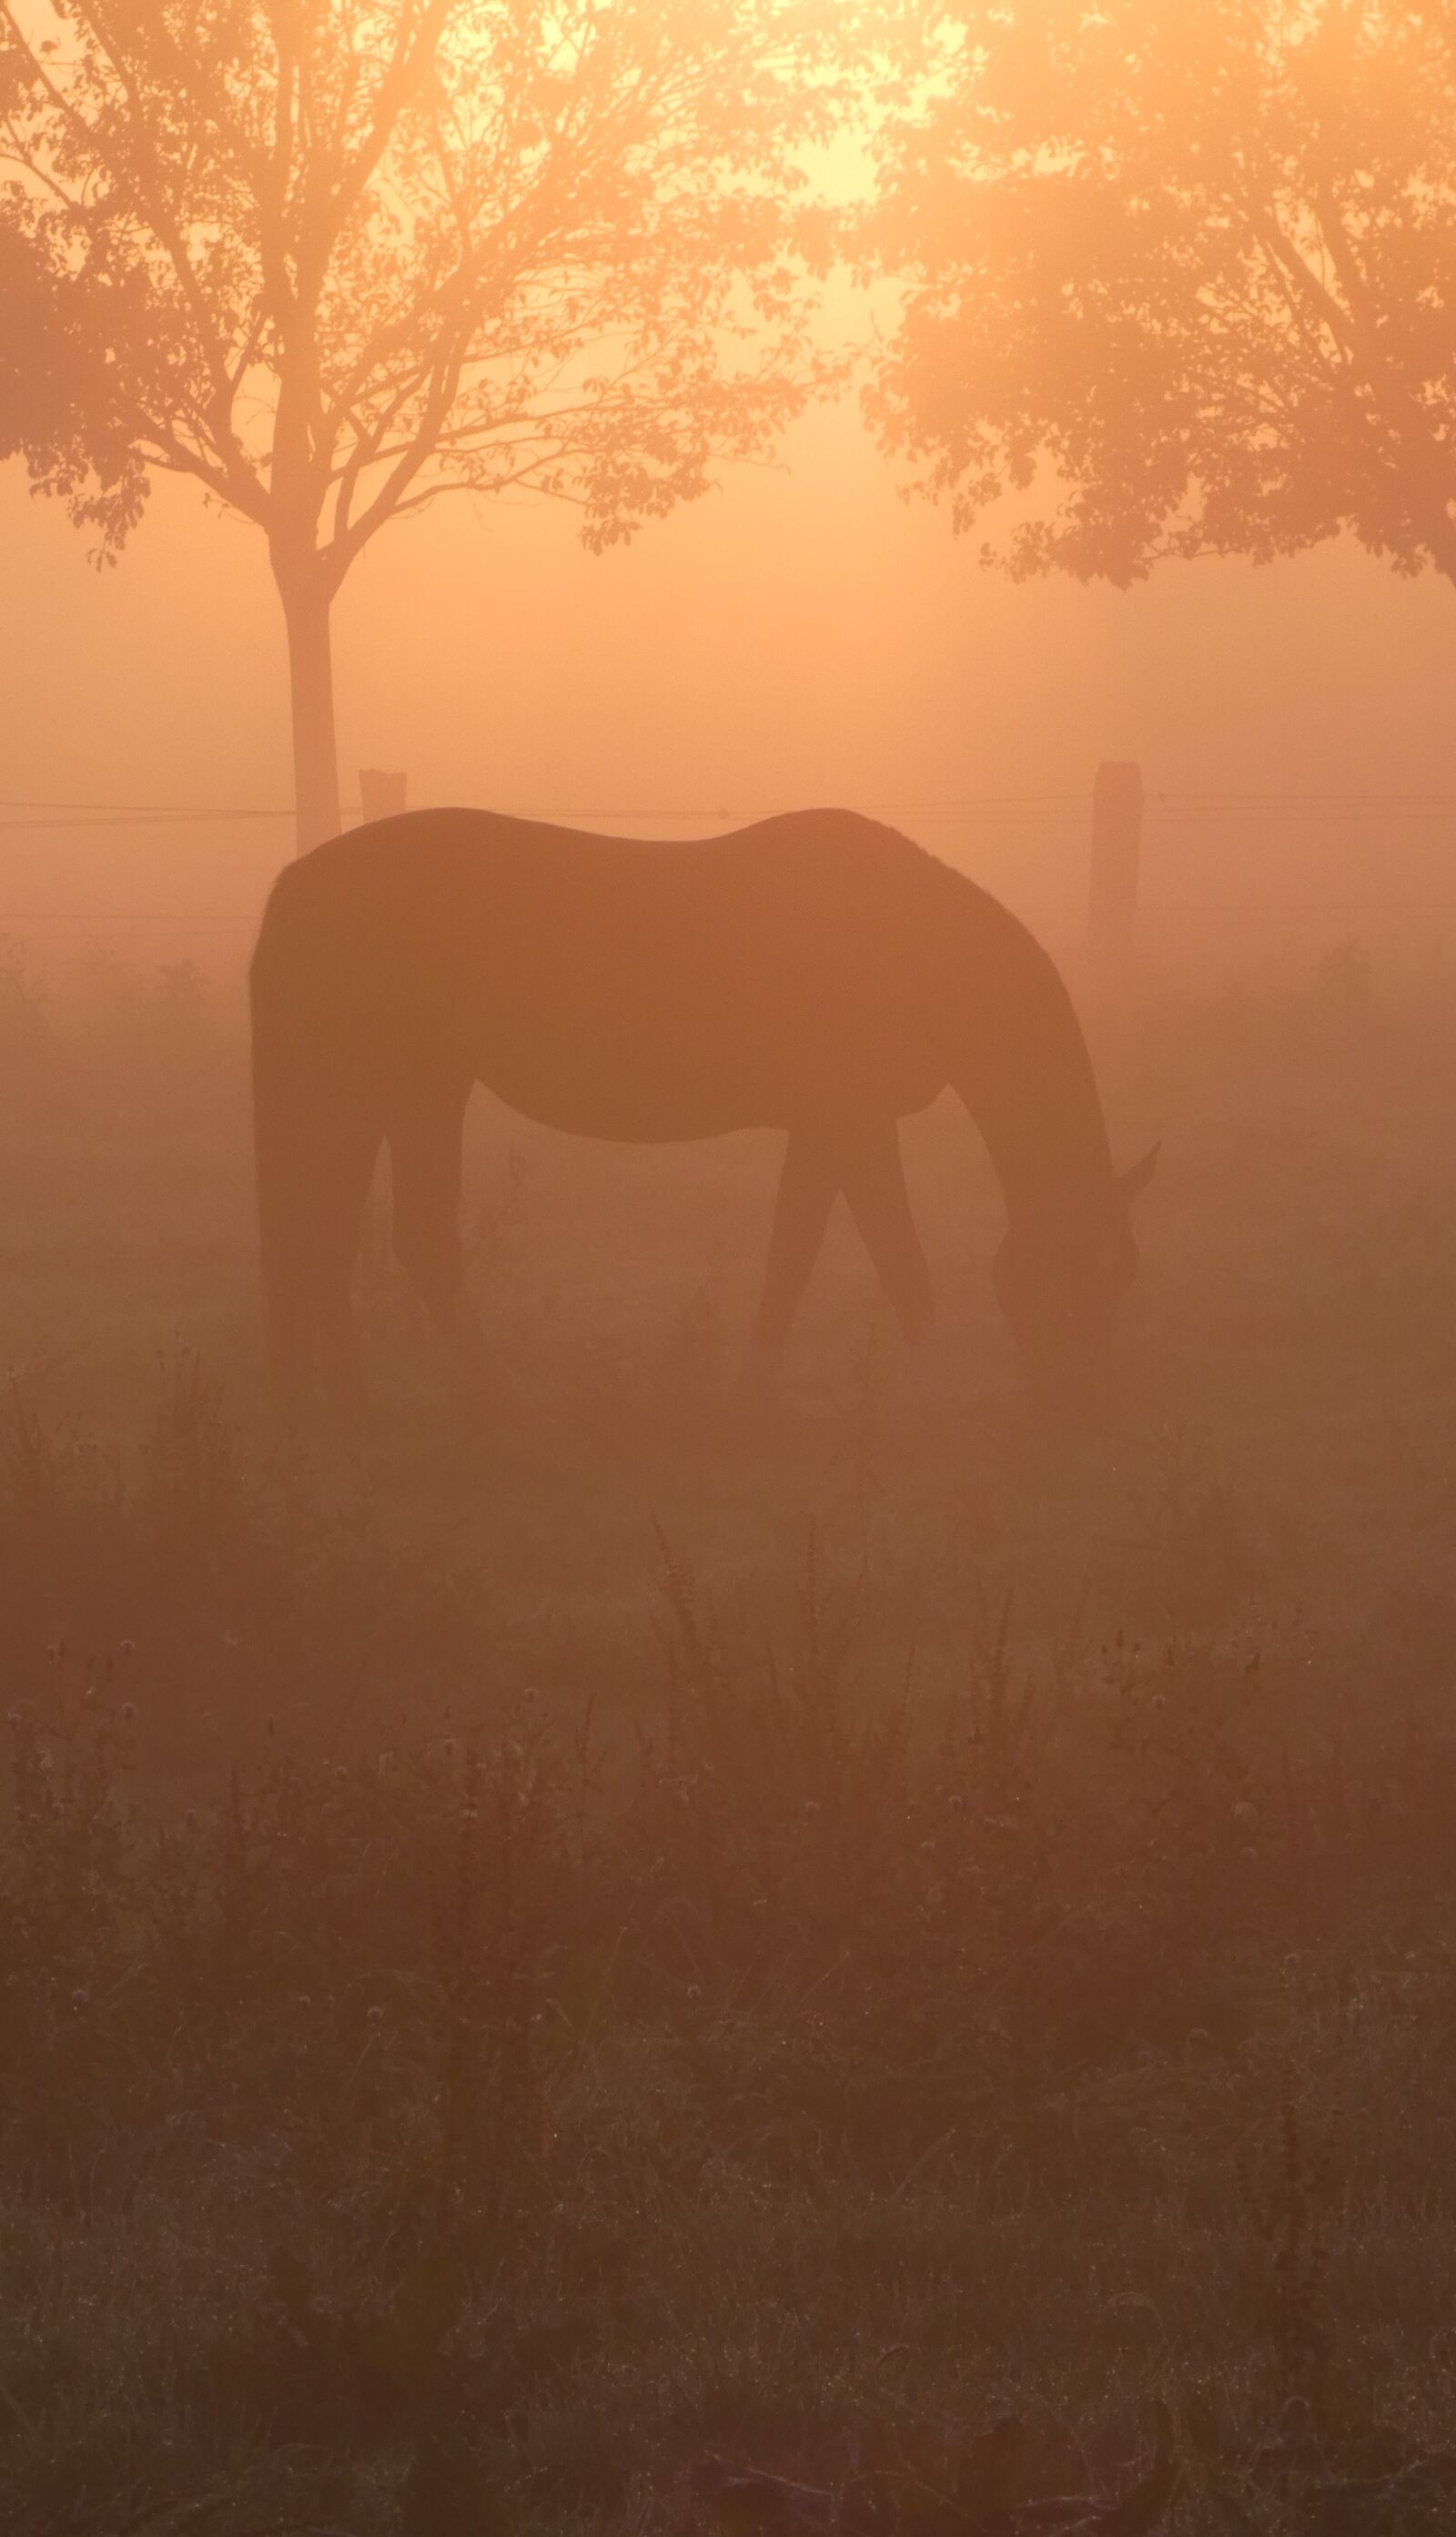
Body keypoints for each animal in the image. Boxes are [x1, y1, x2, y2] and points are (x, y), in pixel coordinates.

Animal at [249, 805, 1156, 1416]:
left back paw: (351, 1398)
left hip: (374, 1096)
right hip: (408, 1090)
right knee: (409, 1238)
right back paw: (493, 1396)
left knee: (334, 1237)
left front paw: (750, 1392)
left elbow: (797, 1253)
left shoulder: (827, 1127)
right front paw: (927, 1397)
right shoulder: (854, 1124)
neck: (913, 944)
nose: (1090, 1401)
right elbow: (892, 1258)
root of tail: (298, 881)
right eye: (1091, 1269)